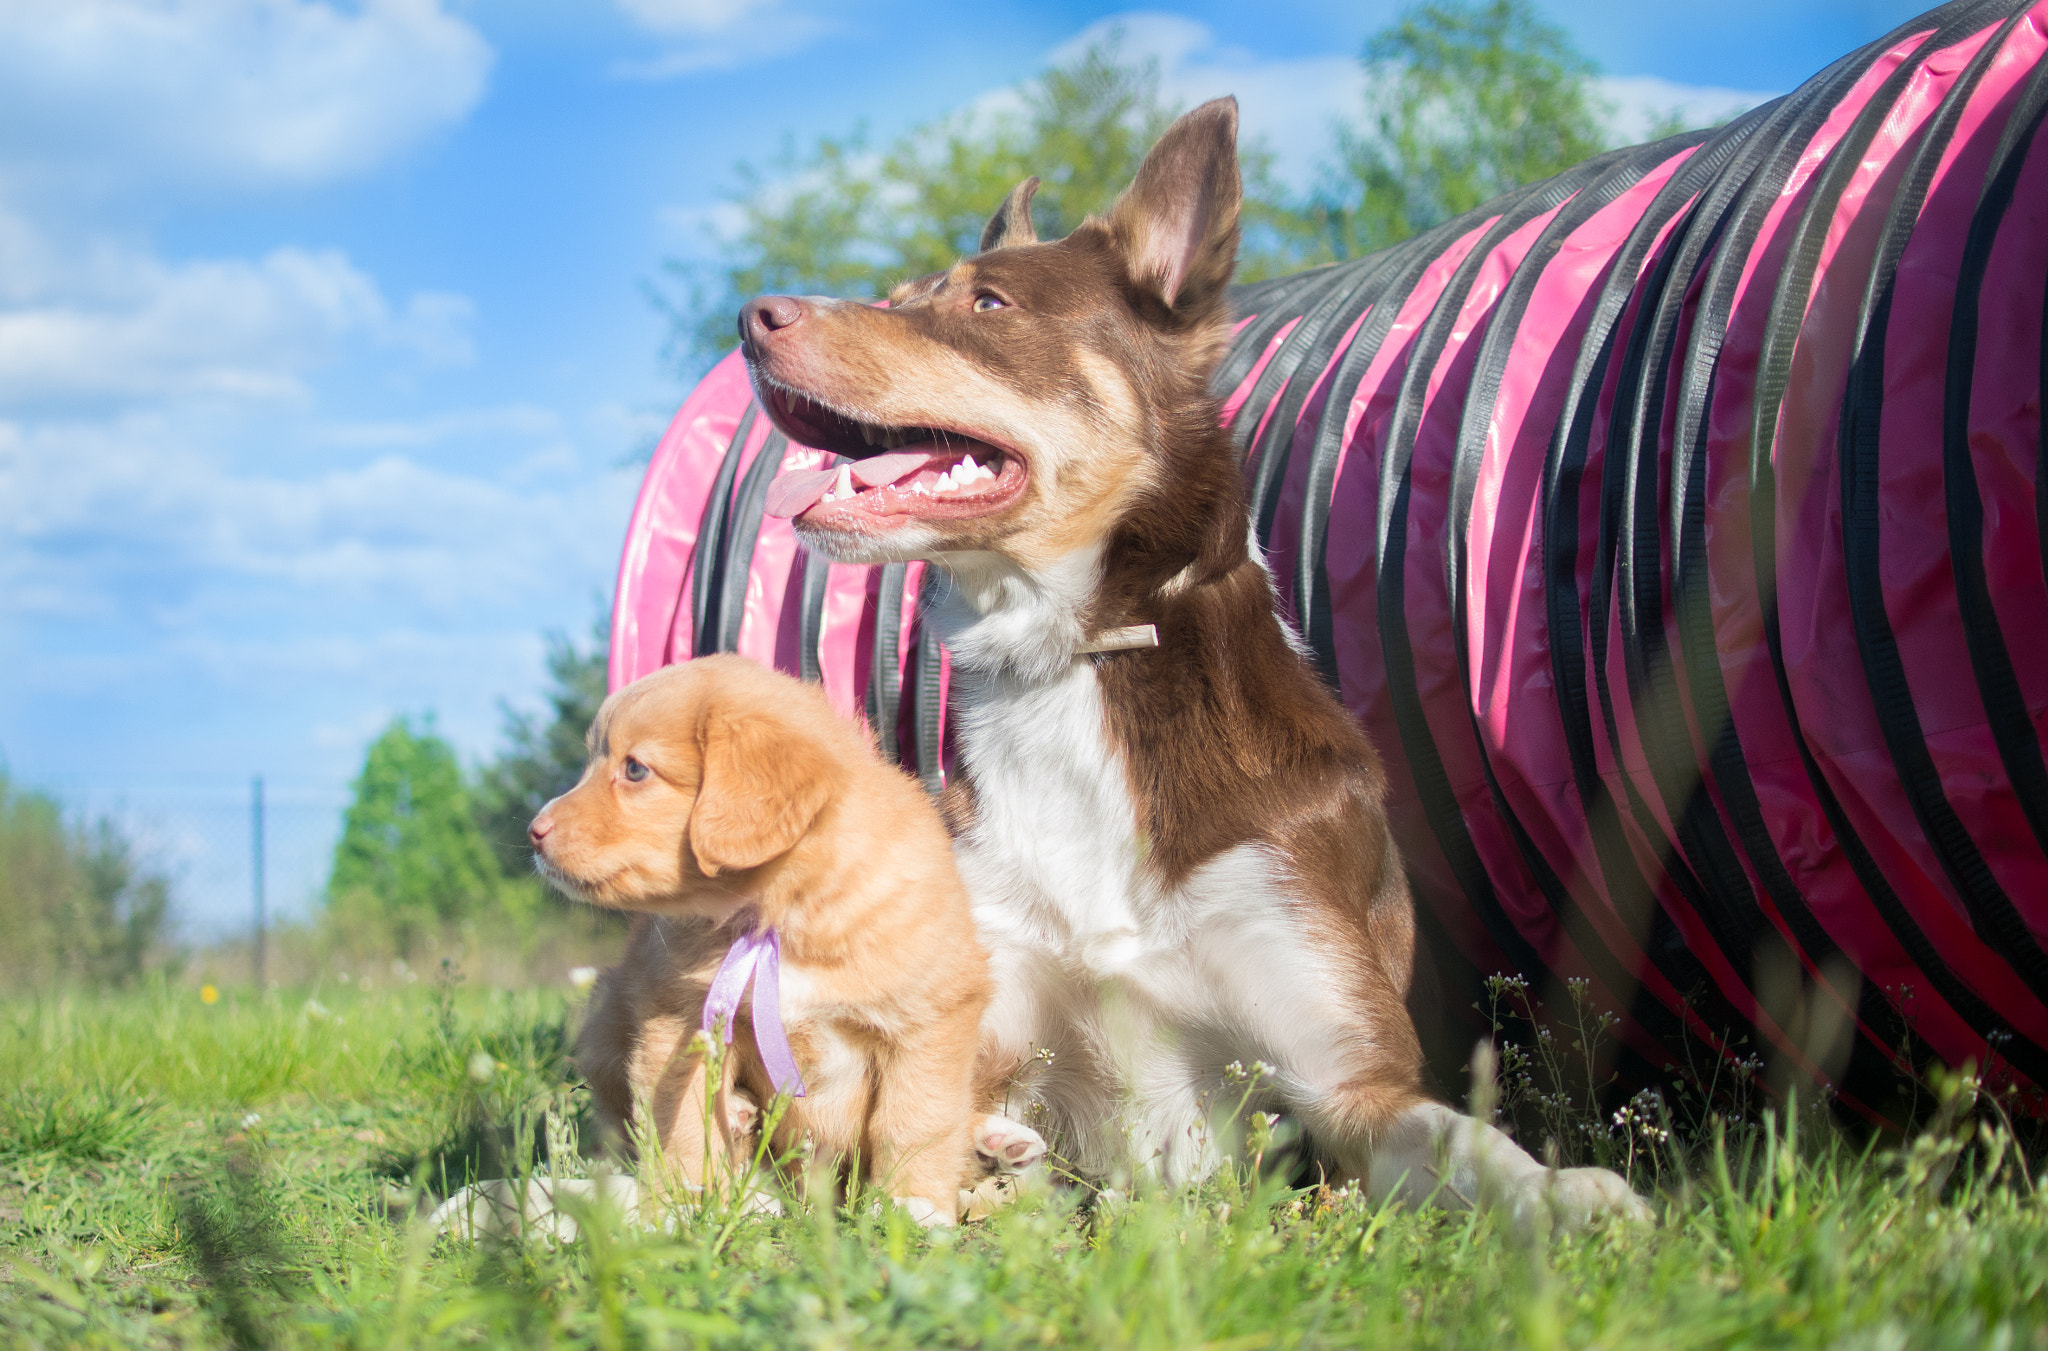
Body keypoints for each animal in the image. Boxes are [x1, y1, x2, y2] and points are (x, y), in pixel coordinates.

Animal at [745, 97, 1654, 1236]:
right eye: (905, 297)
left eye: (986, 303)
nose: (750, 318)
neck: (1075, 655)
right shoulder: (980, 1029)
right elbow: (906, 1149)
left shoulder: (1348, 1087)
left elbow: (1469, 1143)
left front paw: (1567, 1194)